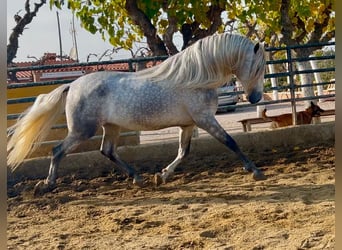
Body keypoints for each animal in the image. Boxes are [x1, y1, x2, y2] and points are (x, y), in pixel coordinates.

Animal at [6, 32, 268, 193]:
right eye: (257, 67)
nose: (256, 98)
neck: (195, 78)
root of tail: (72, 85)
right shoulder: (205, 119)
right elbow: (230, 142)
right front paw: (255, 171)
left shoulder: (188, 124)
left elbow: (183, 152)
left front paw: (162, 175)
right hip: (83, 130)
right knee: (58, 150)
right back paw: (47, 184)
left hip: (111, 127)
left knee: (107, 151)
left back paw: (138, 177)